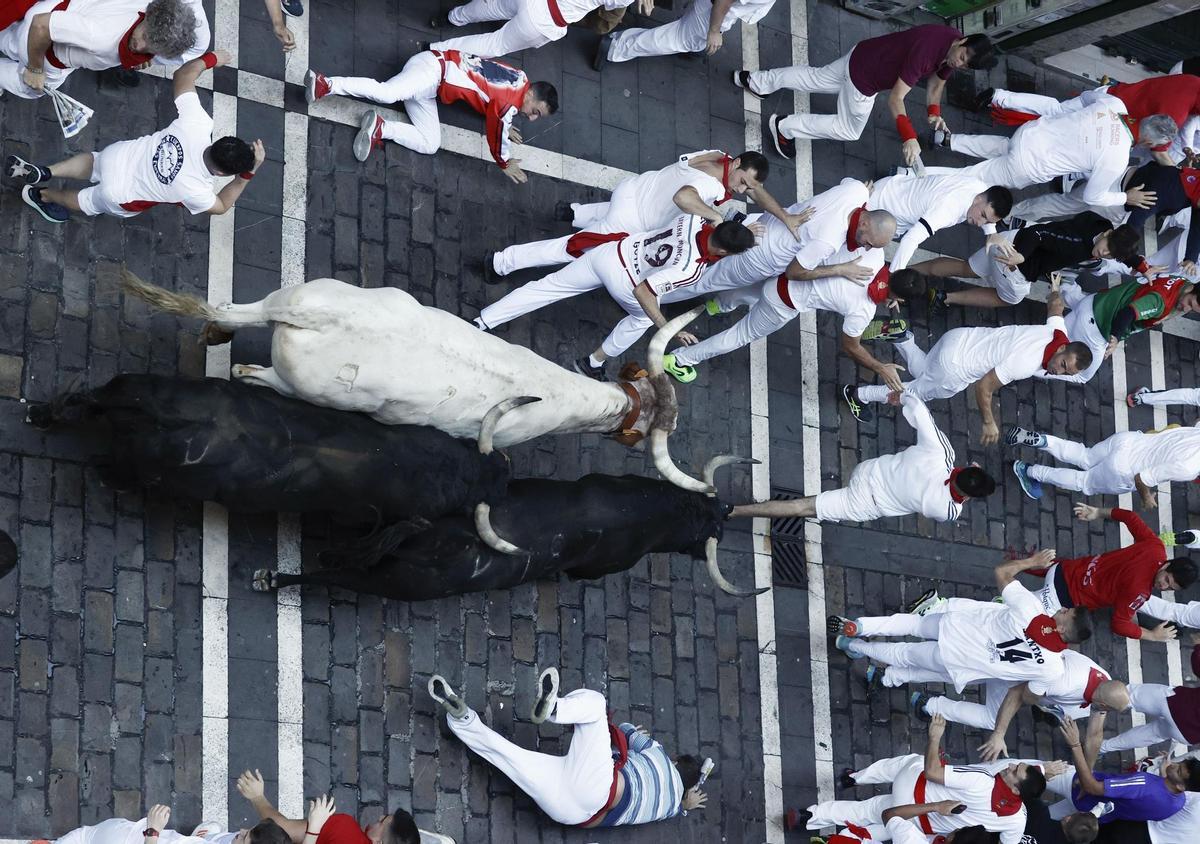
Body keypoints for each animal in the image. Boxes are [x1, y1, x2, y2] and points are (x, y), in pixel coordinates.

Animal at [124, 273, 700, 492]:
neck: (557, 393)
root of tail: (316, 318)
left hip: (294, 296)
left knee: (235, 310)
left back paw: (218, 329)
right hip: (302, 386)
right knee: (254, 374)